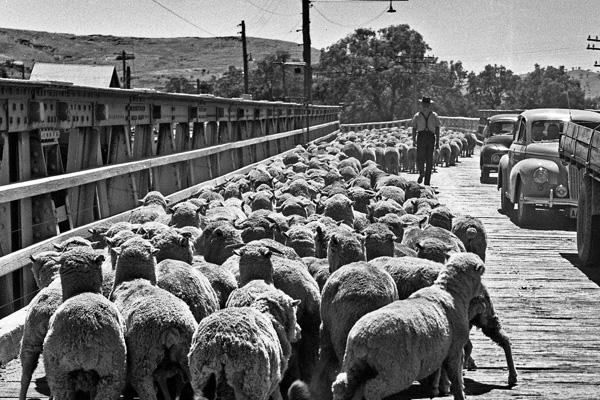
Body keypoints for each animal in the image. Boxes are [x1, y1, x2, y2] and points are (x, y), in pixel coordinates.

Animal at [332, 253, 488, 400]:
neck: (449, 292)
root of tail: (362, 338)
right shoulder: (455, 349)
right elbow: (456, 377)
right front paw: (459, 394)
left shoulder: (438, 351)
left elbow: (437, 371)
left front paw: (434, 389)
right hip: (395, 370)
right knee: (372, 388)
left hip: (353, 361)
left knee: (342, 385)